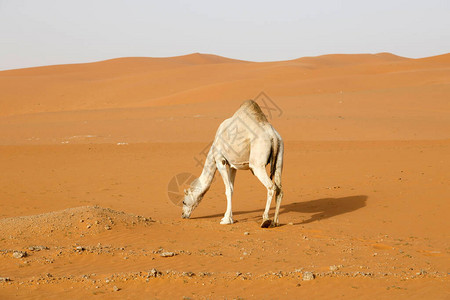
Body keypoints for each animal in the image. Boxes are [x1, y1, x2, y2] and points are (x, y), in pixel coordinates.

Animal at [181, 99, 284, 229]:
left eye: (184, 201)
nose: (183, 215)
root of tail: (273, 136)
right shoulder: (233, 165)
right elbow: (232, 188)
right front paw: (228, 217)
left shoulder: (220, 160)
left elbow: (228, 190)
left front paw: (226, 220)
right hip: (280, 157)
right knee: (279, 188)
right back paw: (275, 221)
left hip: (257, 164)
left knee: (271, 186)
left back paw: (265, 220)